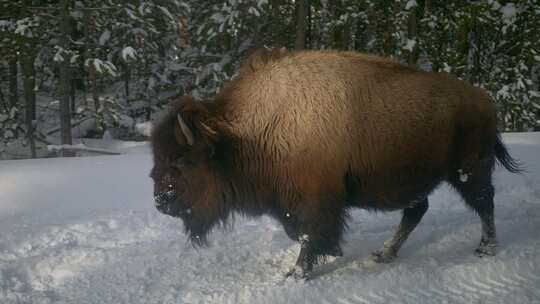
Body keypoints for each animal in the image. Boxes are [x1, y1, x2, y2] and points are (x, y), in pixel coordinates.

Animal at [150, 48, 520, 280]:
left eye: (184, 160)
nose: (160, 202)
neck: (241, 135)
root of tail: (485, 100)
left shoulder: (315, 200)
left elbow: (308, 234)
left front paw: (298, 273)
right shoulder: (291, 203)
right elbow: (298, 231)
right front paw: (328, 257)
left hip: (469, 170)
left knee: (484, 203)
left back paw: (485, 249)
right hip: (419, 179)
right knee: (417, 211)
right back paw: (384, 254)